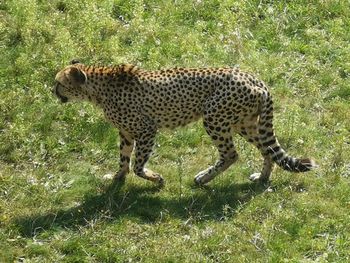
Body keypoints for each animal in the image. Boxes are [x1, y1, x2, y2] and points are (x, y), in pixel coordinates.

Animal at [54, 60, 318, 187]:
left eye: (59, 83)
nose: (53, 91)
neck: (98, 89)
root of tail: (254, 78)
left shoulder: (147, 130)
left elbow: (138, 164)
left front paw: (156, 179)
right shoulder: (126, 133)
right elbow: (123, 159)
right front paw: (117, 178)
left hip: (215, 118)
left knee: (231, 154)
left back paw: (203, 178)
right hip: (244, 123)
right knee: (267, 149)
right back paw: (262, 178)